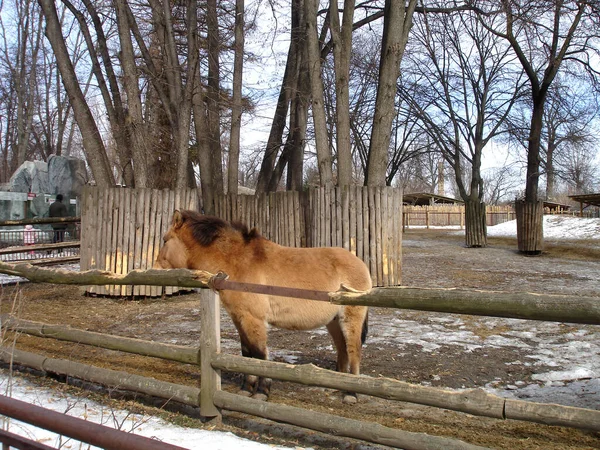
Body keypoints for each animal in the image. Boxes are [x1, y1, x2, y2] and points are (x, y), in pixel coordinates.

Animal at [155, 209, 370, 402]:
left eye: (165, 240)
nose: (155, 267)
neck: (238, 262)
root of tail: (360, 263)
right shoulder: (239, 318)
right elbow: (247, 354)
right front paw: (246, 389)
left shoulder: (254, 319)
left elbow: (259, 356)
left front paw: (261, 391)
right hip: (333, 322)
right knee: (342, 349)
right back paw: (337, 386)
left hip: (350, 319)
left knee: (353, 350)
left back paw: (351, 394)